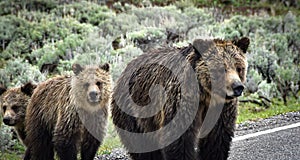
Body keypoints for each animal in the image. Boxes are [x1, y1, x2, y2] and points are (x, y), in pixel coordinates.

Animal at [111, 37, 250, 160]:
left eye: (239, 68)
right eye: (222, 69)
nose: (238, 87)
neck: (205, 94)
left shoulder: (219, 109)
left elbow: (216, 139)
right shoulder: (181, 102)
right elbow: (179, 139)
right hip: (133, 112)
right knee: (142, 145)